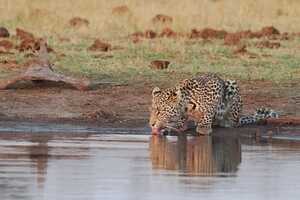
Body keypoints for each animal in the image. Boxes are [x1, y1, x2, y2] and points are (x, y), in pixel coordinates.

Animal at [149, 73, 278, 136]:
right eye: (152, 111)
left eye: (160, 111)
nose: (151, 124)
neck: (186, 106)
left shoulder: (214, 89)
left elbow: (208, 113)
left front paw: (204, 127)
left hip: (231, 85)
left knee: (231, 123)